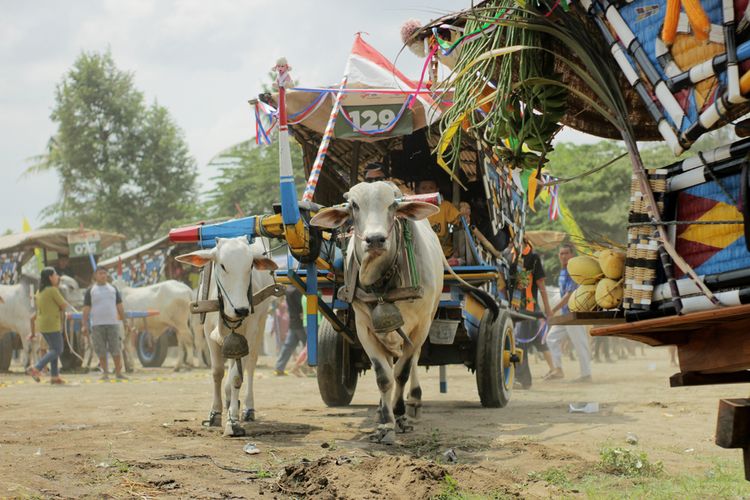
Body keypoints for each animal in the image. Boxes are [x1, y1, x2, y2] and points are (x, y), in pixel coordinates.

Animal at [177, 236, 280, 436]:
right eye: (223, 266)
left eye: (250, 266)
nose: (241, 309)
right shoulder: (208, 333)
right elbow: (217, 372)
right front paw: (215, 414)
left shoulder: (249, 333)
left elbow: (236, 377)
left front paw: (233, 421)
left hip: (261, 322)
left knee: (250, 365)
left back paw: (247, 408)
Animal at [312, 181, 446, 446]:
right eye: (354, 205)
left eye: (393, 205)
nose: (375, 240)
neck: (383, 281)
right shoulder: (364, 328)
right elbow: (383, 376)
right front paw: (385, 423)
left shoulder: (421, 326)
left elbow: (402, 372)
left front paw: (400, 416)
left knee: (412, 362)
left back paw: (413, 402)